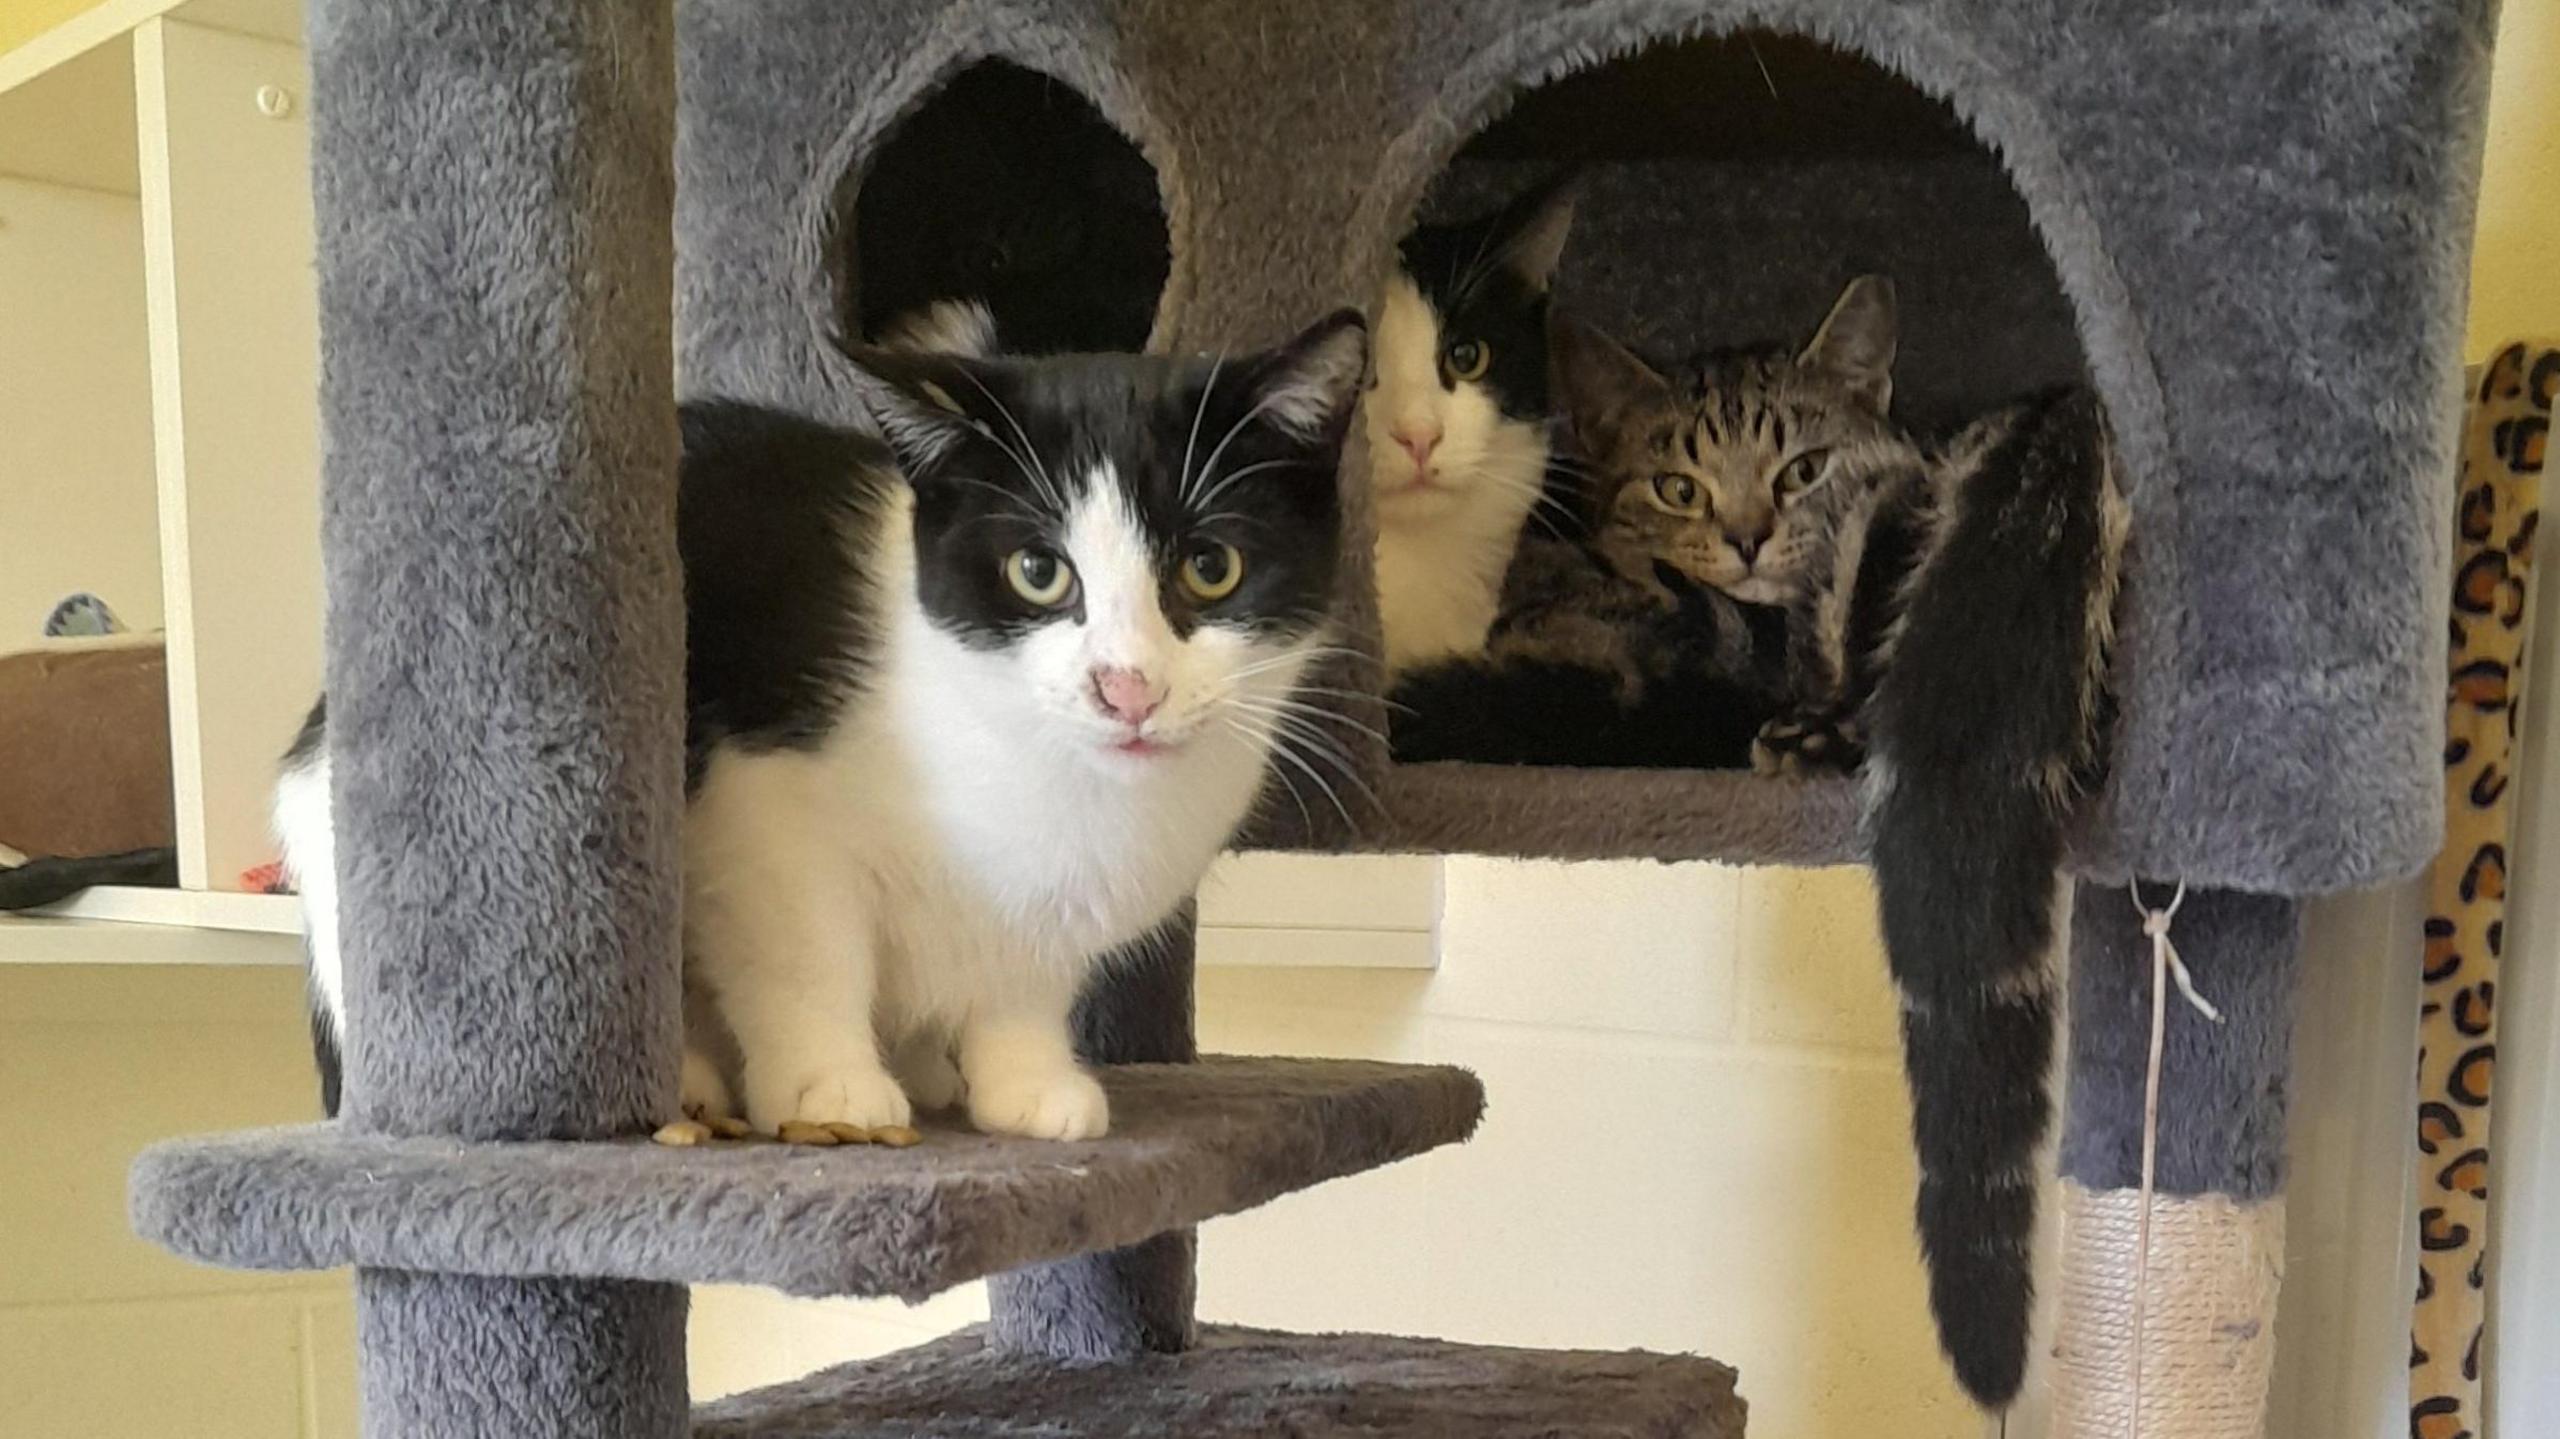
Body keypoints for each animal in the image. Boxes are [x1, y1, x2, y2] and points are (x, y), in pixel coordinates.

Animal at [275, 311, 1382, 1131]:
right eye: (1038, 571)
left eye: (1212, 566)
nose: (1128, 687)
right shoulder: (761, 804)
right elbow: (804, 949)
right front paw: (829, 1084)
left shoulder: (1053, 903)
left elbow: (1025, 974)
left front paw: (1027, 1083)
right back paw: (694, 1078)